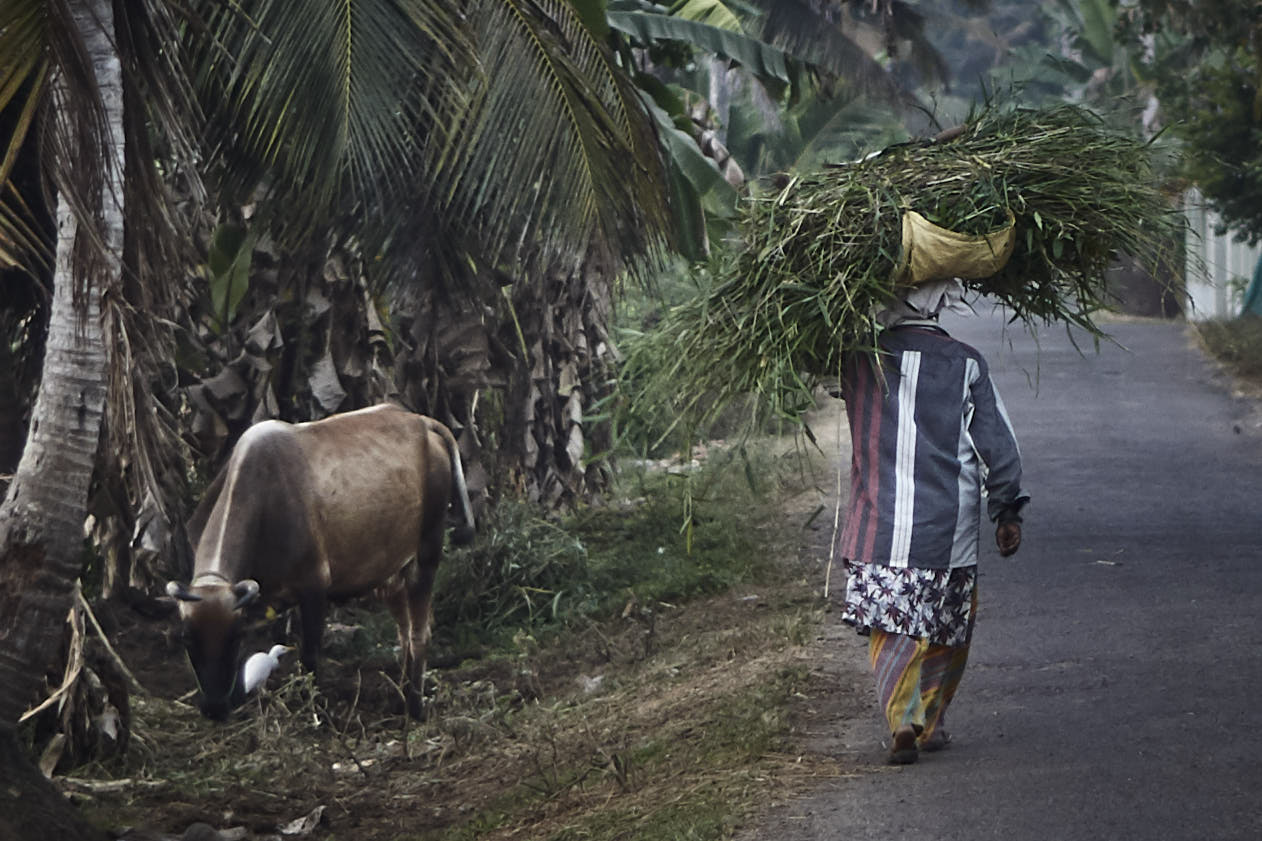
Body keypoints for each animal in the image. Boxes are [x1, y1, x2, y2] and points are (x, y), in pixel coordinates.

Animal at [167, 404, 474, 717]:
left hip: (427, 553)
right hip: (391, 572)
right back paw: (400, 695)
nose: (214, 709)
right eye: (187, 638)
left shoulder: (313, 586)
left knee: (419, 632)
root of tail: (421, 421)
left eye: (233, 637)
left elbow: (310, 655)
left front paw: (312, 711)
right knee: (404, 630)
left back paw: (415, 705)